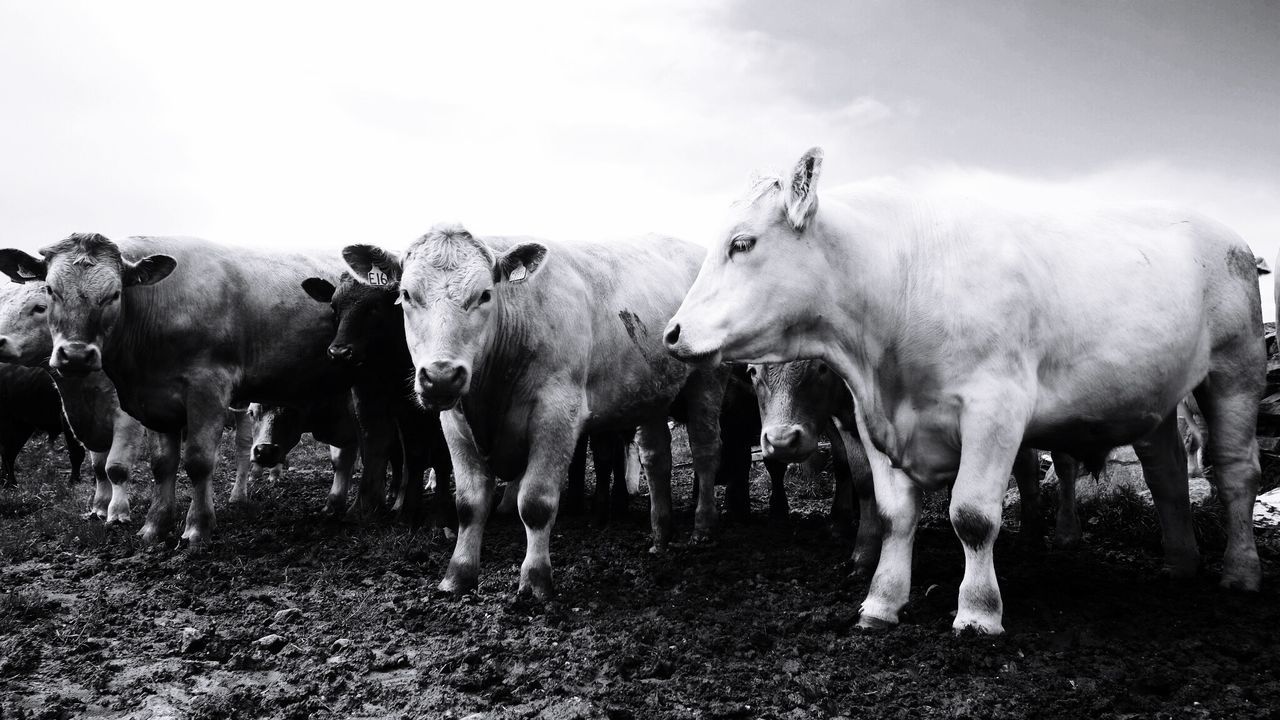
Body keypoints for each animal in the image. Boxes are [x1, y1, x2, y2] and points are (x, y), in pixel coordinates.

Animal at [0, 235, 353, 543]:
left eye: (115, 293)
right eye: (50, 290)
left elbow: (196, 462)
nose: (74, 355)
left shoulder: (207, 391)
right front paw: (153, 527)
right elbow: (160, 465)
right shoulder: (155, 403)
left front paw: (197, 528)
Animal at [299, 271, 455, 525]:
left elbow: (433, 454)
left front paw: (432, 512)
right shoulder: (381, 404)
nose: (339, 352)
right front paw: (377, 508)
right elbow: (387, 449)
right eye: (334, 307)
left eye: (374, 308)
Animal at [348, 226, 732, 597]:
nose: (441, 376)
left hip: (707, 379)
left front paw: (535, 580)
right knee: (656, 457)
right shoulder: (455, 422)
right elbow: (469, 504)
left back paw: (703, 527)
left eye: (485, 294)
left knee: (705, 449)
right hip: (652, 392)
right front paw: (457, 575)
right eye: (407, 295)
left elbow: (536, 502)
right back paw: (660, 536)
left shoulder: (557, 414)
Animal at [665, 148, 1264, 630]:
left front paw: (977, 612)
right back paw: (1181, 563)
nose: (671, 333)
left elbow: (972, 516)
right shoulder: (870, 421)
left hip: (1237, 372)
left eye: (742, 243)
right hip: (1157, 400)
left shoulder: (995, 410)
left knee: (1236, 473)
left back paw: (1240, 572)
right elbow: (893, 515)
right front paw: (881, 603)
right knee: (1166, 473)